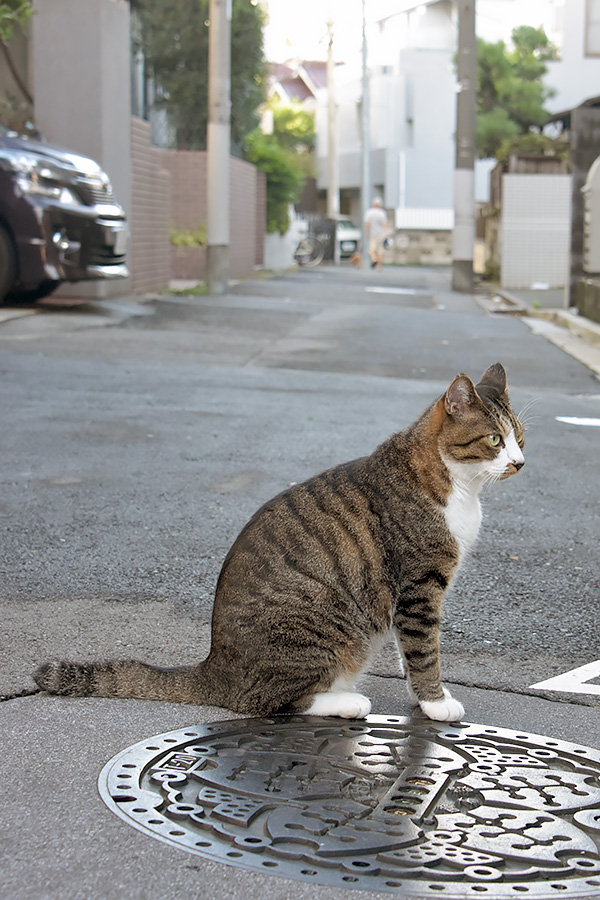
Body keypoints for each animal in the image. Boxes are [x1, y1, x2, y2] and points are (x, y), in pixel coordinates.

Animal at [35, 362, 524, 720]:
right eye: (494, 439)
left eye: (520, 437)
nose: (520, 462)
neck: (461, 487)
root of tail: (216, 668)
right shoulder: (419, 587)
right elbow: (425, 650)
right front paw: (435, 703)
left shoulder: (411, 599)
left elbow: (411, 649)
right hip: (318, 631)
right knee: (271, 702)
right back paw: (348, 701)